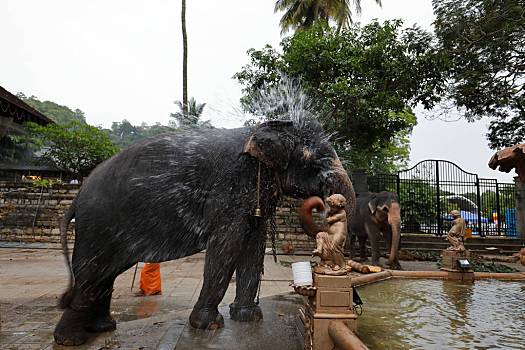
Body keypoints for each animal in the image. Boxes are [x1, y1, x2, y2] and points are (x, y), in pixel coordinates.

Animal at [54, 117, 356, 344]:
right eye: (317, 162)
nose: (326, 202)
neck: (261, 128)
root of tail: (77, 198)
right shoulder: (231, 187)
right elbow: (228, 244)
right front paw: (208, 325)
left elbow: (254, 245)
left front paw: (248, 317)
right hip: (98, 226)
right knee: (92, 276)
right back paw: (71, 340)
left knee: (104, 277)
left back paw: (103, 328)